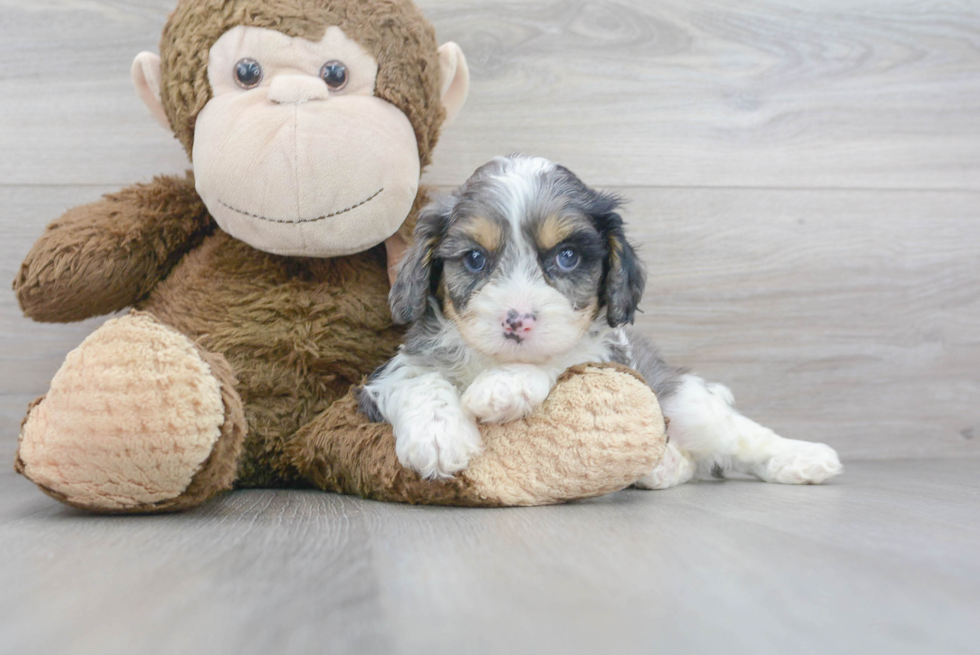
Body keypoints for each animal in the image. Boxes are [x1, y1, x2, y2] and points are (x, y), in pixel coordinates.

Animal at [360, 156, 844, 490]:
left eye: (567, 256)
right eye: (475, 259)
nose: (518, 321)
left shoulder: (608, 354)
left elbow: (566, 354)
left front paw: (505, 385)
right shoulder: (380, 379)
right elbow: (420, 380)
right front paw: (437, 437)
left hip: (685, 402)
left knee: (742, 436)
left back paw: (805, 458)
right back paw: (664, 466)